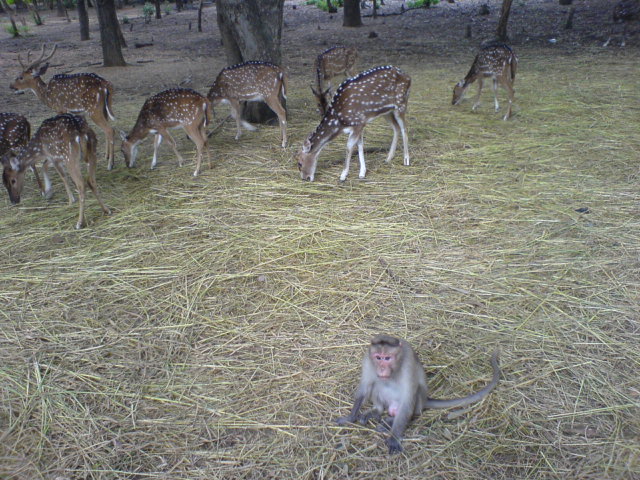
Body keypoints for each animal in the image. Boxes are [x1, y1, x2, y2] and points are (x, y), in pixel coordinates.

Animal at [8, 43, 117, 171]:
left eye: (20, 77)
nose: (11, 86)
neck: (47, 95)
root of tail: (106, 85)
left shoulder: (60, 108)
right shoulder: (79, 113)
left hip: (93, 109)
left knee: (110, 130)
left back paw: (110, 164)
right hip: (104, 107)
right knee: (107, 128)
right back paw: (106, 156)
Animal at [336, 334, 500, 454]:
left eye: (387, 358)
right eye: (378, 357)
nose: (382, 369)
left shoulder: (408, 364)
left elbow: (408, 397)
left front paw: (394, 438)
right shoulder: (368, 360)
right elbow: (365, 387)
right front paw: (350, 418)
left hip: (418, 402)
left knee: (413, 401)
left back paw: (390, 422)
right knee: (376, 384)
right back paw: (377, 411)